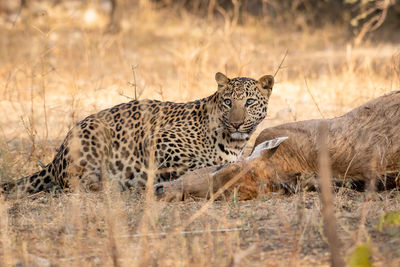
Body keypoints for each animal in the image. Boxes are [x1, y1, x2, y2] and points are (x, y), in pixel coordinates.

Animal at [1, 72, 274, 198]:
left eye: (249, 102)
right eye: (228, 102)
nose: (237, 124)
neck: (232, 142)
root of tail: (57, 155)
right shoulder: (159, 139)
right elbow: (196, 163)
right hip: (93, 134)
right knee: (73, 183)